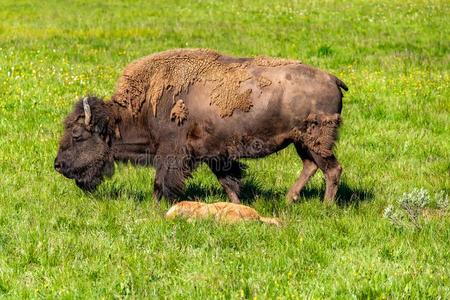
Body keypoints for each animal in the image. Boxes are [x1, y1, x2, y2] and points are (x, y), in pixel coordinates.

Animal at [53, 48, 348, 204]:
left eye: (77, 135)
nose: (57, 164)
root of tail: (331, 78)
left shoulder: (172, 153)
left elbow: (161, 182)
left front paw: (156, 206)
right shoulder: (216, 155)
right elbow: (229, 182)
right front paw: (237, 205)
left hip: (315, 140)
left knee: (332, 169)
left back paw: (325, 206)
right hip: (302, 142)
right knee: (312, 166)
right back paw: (289, 199)